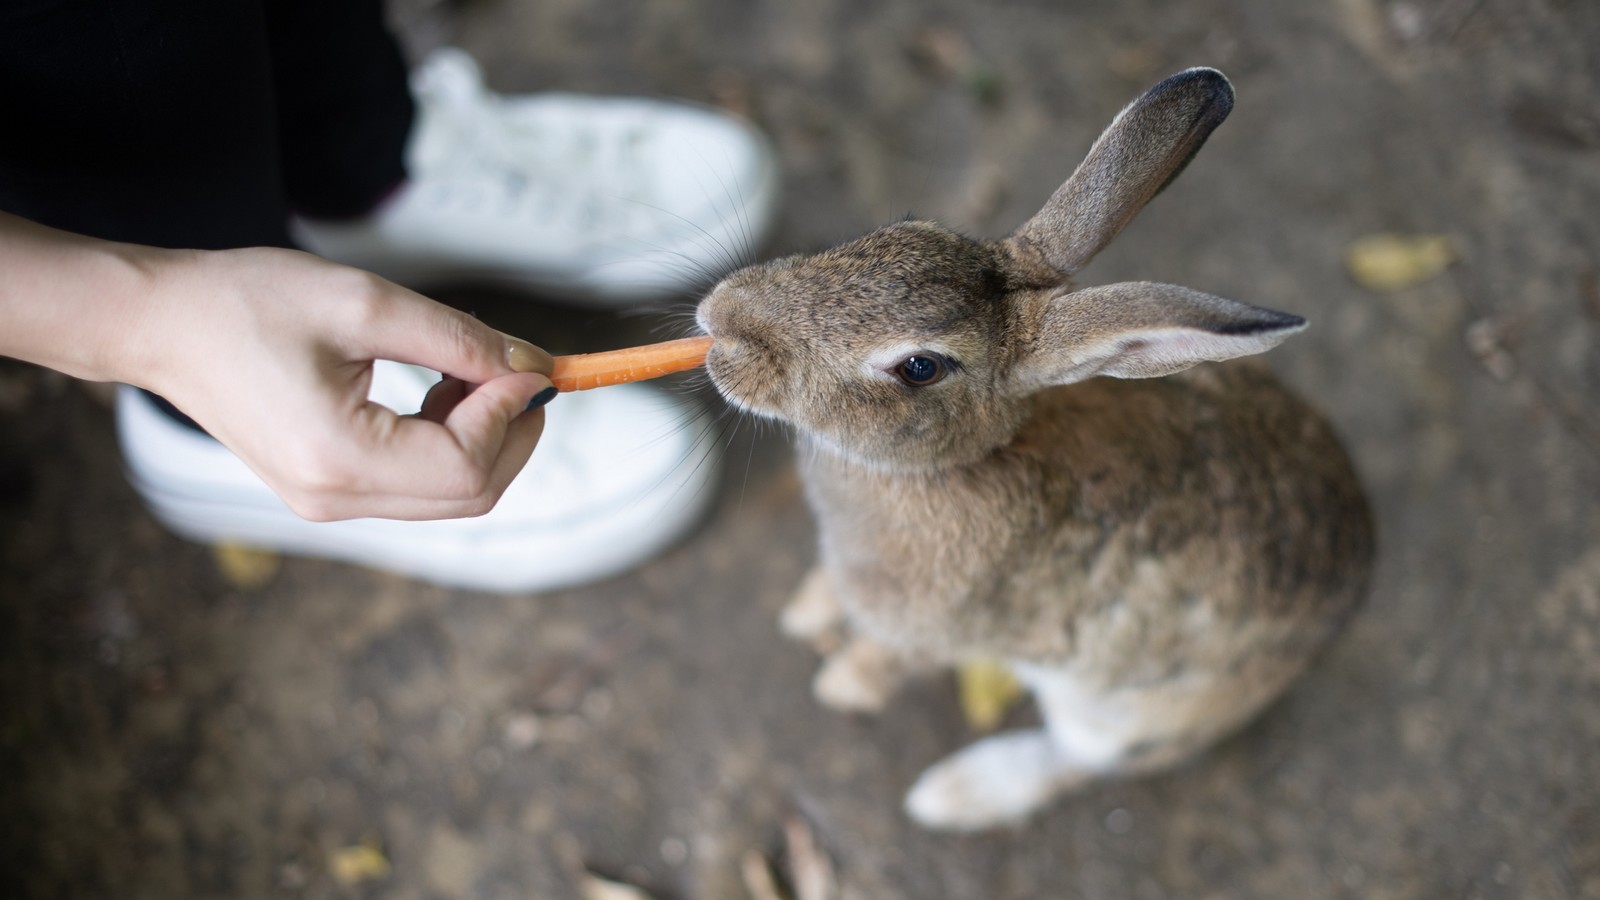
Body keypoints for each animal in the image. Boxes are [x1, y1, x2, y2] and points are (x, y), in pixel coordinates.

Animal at [695, 67, 1374, 832]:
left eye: (919, 368)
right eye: (902, 228)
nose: (725, 318)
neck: (959, 462)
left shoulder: (927, 633)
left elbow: (884, 665)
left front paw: (841, 685)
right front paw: (806, 612)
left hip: (1128, 710)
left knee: (1087, 763)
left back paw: (957, 793)